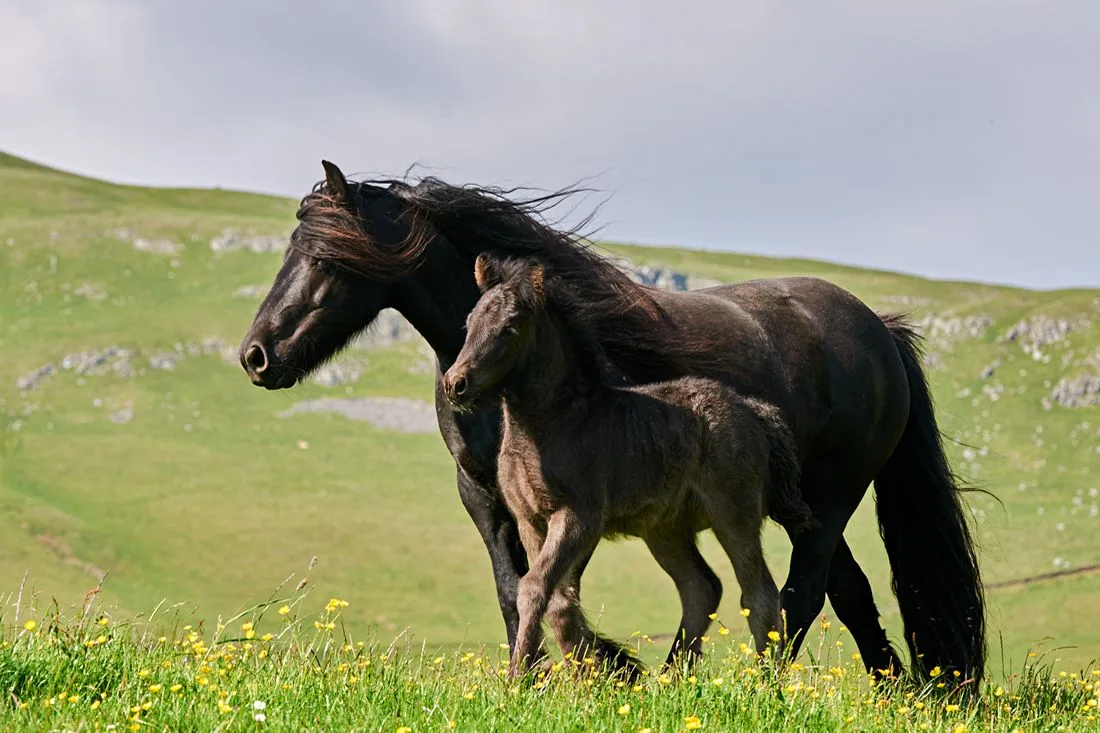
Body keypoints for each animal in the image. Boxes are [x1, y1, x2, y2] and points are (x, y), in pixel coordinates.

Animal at [440, 252, 812, 679]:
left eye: (509, 328)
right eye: (470, 322)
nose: (455, 384)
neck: (551, 423)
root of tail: (753, 410)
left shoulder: (578, 517)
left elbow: (536, 587)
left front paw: (520, 679)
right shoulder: (529, 520)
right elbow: (556, 598)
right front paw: (583, 677)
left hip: (733, 514)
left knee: (759, 594)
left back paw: (767, 682)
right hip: (665, 529)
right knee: (701, 588)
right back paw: (670, 681)